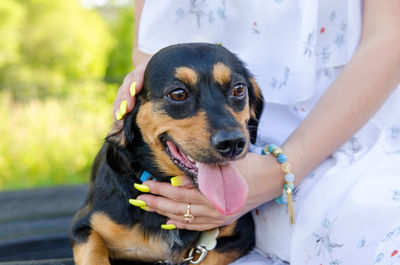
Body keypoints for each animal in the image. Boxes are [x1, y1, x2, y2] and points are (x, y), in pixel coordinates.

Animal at [69, 42, 262, 262]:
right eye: (178, 94)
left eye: (239, 89)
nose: (232, 143)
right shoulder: (83, 227)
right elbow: (94, 252)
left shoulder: (242, 235)